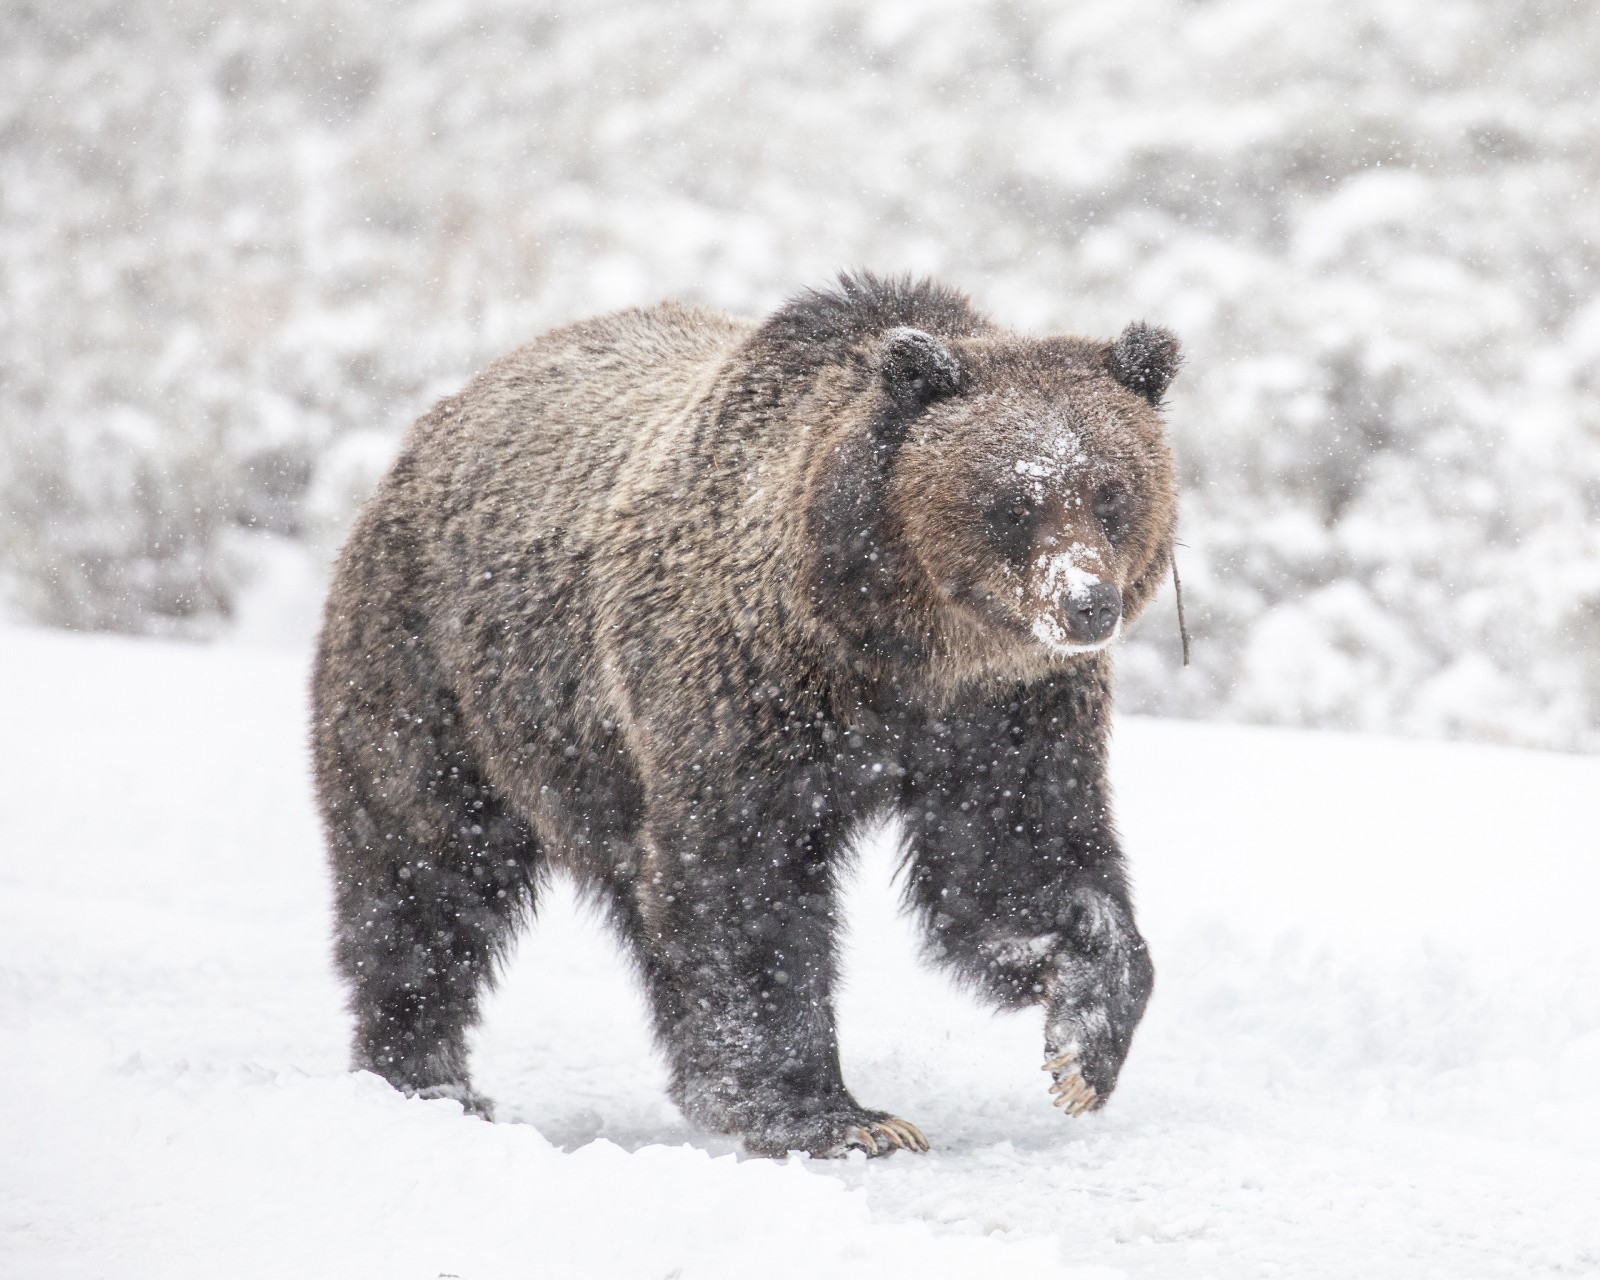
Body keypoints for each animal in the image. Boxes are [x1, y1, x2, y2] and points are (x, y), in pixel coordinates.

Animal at [311, 272, 1179, 1158]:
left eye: (1113, 493)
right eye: (1014, 501)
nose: (1087, 604)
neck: (898, 654)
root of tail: (439, 417)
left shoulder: (1009, 717)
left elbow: (1020, 861)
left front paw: (1082, 1042)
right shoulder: (750, 692)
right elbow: (747, 886)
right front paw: (834, 1115)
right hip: (442, 680)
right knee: (424, 875)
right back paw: (428, 1078)